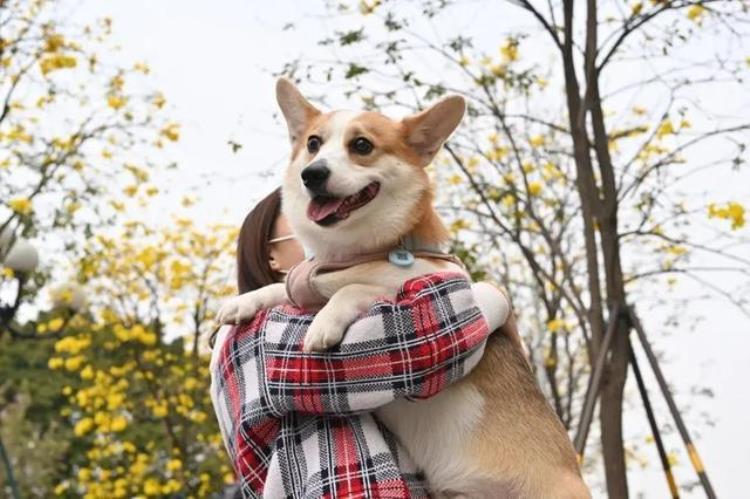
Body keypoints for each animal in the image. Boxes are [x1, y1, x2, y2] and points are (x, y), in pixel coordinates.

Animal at [217, 79, 592, 499]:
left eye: (361, 145)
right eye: (313, 143)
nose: (312, 174)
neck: (353, 253)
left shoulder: (420, 279)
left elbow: (352, 287)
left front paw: (323, 323)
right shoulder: (310, 279)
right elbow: (288, 285)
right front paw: (244, 301)